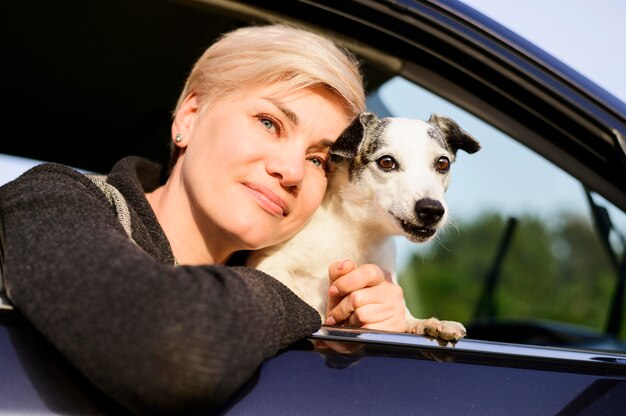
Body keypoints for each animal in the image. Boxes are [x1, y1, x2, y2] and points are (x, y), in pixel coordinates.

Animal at [246, 112, 480, 342]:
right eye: (386, 162)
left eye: (443, 163)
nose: (431, 209)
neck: (356, 233)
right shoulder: (270, 263)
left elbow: (406, 319)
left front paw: (429, 323)